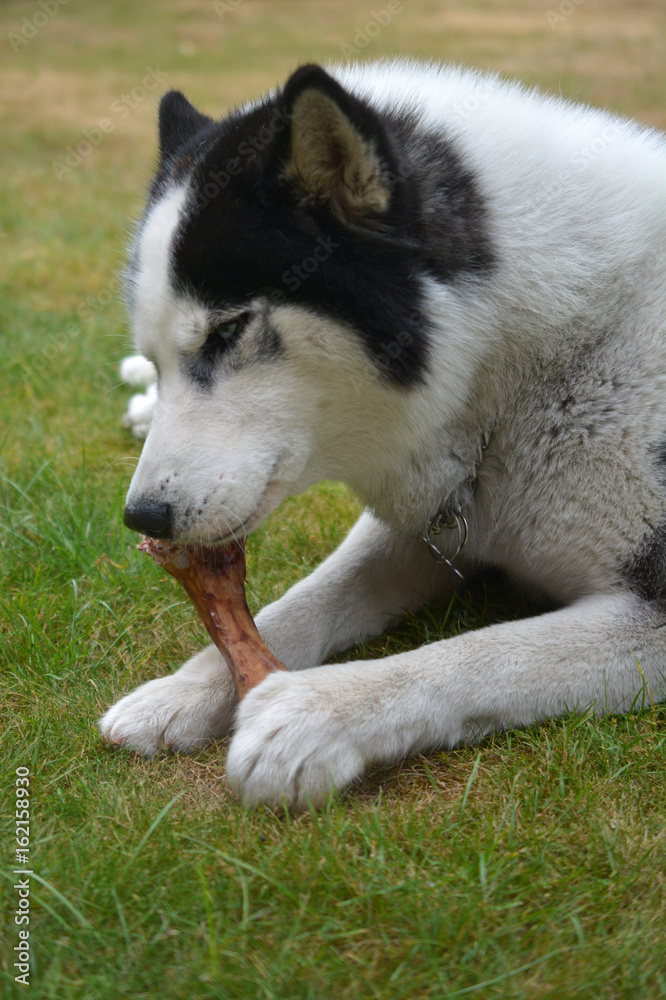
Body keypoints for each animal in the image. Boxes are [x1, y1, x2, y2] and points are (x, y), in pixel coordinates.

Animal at [98, 62, 664, 808]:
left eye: (228, 329)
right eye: (162, 353)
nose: (144, 516)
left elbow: (482, 654)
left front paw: (315, 712)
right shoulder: (435, 528)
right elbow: (302, 602)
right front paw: (182, 691)